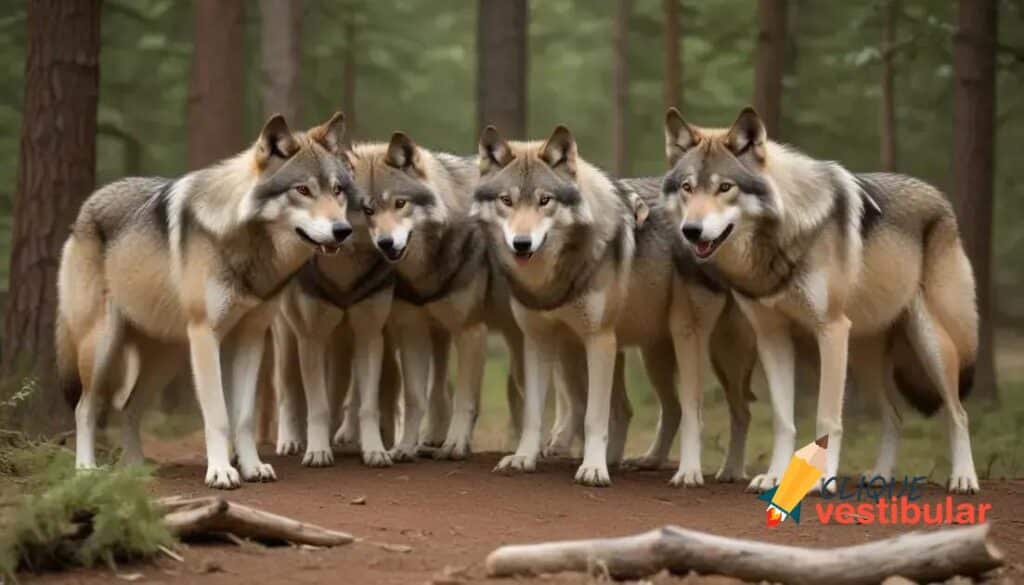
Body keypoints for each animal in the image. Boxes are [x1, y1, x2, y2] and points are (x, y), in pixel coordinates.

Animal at [56, 112, 352, 488]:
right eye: (302, 190)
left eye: (337, 190)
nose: (343, 230)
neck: (246, 245)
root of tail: (86, 207)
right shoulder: (205, 335)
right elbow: (218, 415)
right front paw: (221, 471)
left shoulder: (251, 337)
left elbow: (243, 416)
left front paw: (253, 467)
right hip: (103, 346)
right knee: (86, 407)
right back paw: (86, 469)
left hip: (166, 359)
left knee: (129, 407)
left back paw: (136, 469)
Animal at [474, 125, 756, 487]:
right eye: (506, 201)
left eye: (544, 200)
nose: (521, 244)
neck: (554, 276)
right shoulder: (538, 341)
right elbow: (534, 414)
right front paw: (523, 459)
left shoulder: (600, 340)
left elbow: (595, 416)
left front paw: (594, 469)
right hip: (652, 354)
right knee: (673, 409)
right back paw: (649, 460)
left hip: (706, 346)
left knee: (730, 410)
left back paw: (722, 471)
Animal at [662, 106, 980, 494]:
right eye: (687, 188)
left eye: (725, 187)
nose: (691, 231)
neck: (780, 240)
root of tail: (940, 197)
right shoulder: (772, 338)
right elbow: (784, 420)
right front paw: (775, 476)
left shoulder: (830, 330)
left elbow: (827, 418)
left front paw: (823, 480)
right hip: (861, 361)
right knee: (895, 416)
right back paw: (880, 475)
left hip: (929, 345)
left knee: (958, 413)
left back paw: (964, 478)